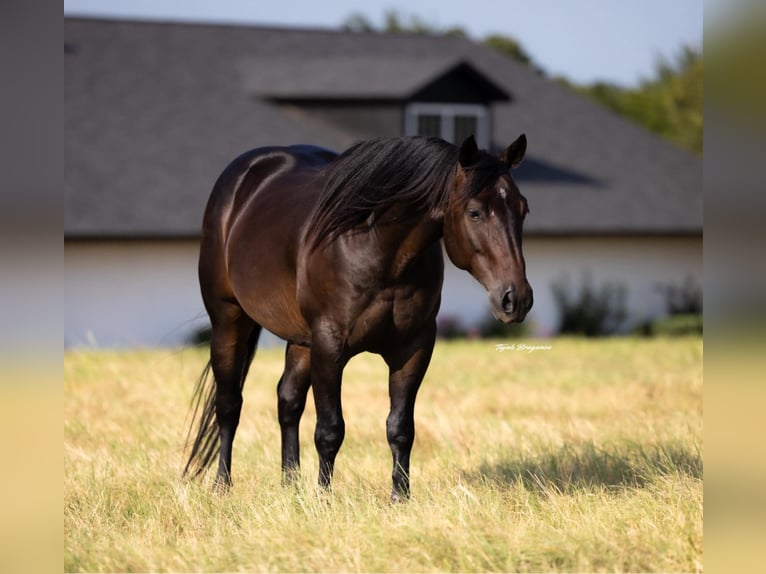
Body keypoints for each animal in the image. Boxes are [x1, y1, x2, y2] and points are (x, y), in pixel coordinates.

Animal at [183, 134, 533, 501]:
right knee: (229, 404)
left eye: (523, 209)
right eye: (474, 212)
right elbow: (330, 429)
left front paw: (400, 498)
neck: (376, 247)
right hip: (229, 320)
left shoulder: (414, 348)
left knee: (288, 400)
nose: (516, 298)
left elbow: (400, 427)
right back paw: (222, 486)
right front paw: (324, 500)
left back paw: (291, 486)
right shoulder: (329, 345)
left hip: (300, 339)